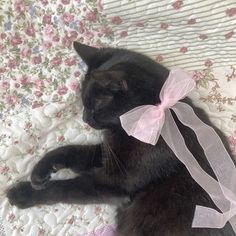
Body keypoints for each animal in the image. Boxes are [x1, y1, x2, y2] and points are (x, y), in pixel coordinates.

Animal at [6, 42, 235, 236]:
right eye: (84, 105)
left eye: (94, 106)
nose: (85, 118)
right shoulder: (108, 153)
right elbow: (71, 151)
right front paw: (40, 171)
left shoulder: (113, 183)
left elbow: (65, 188)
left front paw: (23, 193)